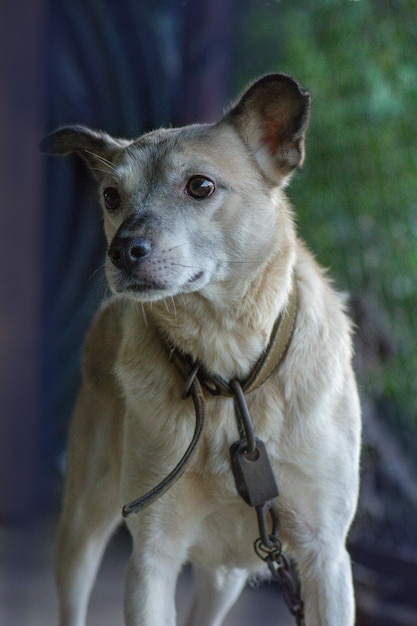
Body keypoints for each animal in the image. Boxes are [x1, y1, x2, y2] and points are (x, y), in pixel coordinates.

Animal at [41, 74, 360, 624]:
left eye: (201, 186)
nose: (121, 252)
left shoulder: (326, 557)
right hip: (82, 523)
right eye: (110, 196)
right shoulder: (152, 557)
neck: (230, 372)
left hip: (225, 575)